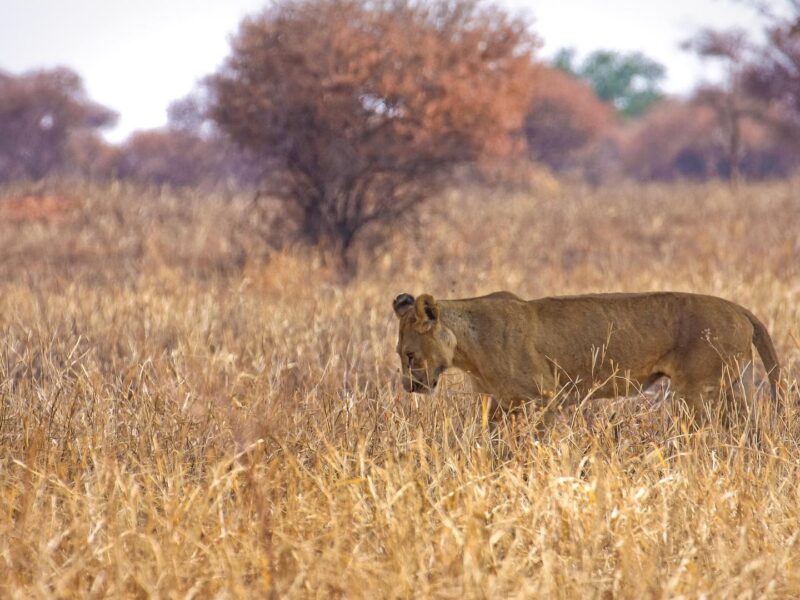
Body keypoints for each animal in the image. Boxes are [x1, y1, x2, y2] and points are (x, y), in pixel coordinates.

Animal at [392, 291, 780, 425]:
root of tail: (738, 308)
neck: (467, 348)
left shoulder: (547, 397)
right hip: (737, 386)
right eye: (399, 354)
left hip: (696, 392)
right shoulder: (499, 402)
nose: (409, 387)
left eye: (410, 354)